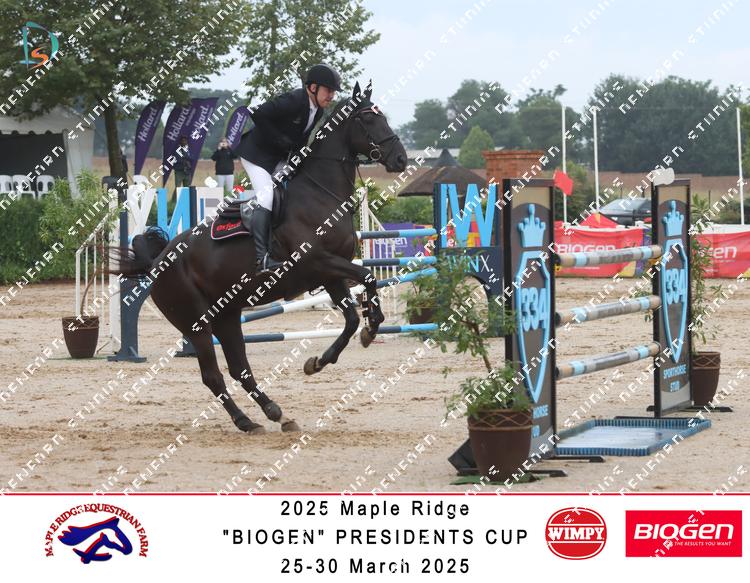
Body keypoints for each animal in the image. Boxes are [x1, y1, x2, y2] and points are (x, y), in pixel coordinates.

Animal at [114, 82, 407, 434]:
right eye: (368, 118)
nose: (401, 159)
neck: (320, 194)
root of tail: (159, 259)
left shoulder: (330, 274)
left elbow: (351, 318)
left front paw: (320, 360)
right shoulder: (318, 262)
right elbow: (368, 277)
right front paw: (372, 326)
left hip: (226, 316)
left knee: (239, 369)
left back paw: (274, 413)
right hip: (196, 323)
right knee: (213, 375)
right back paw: (245, 420)